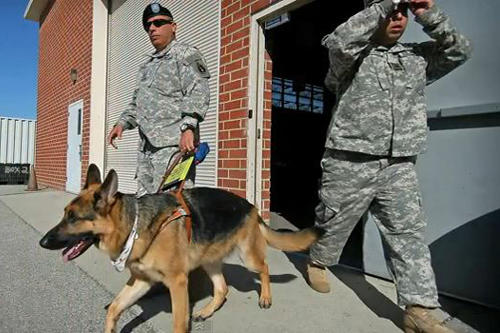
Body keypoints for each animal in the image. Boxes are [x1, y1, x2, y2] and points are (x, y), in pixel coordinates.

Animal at [39, 165, 320, 330]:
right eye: (65, 214)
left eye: (73, 218)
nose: (42, 242)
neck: (135, 226)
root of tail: (251, 206)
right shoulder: (142, 281)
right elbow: (115, 309)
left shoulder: (177, 283)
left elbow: (177, 323)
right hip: (209, 261)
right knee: (222, 288)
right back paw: (206, 311)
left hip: (247, 255)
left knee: (264, 267)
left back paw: (265, 297)